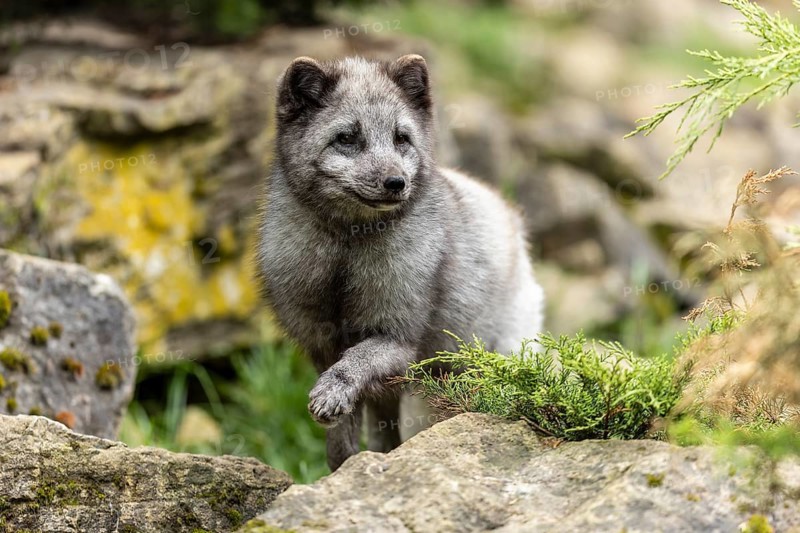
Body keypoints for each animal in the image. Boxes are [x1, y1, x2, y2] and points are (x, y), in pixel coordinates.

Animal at [257, 54, 544, 471]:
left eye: (401, 138)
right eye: (347, 138)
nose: (396, 183)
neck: (347, 250)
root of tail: (508, 213)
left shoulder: (397, 338)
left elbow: (354, 362)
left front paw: (332, 394)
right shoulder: (321, 345)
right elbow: (340, 439)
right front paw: (342, 466)